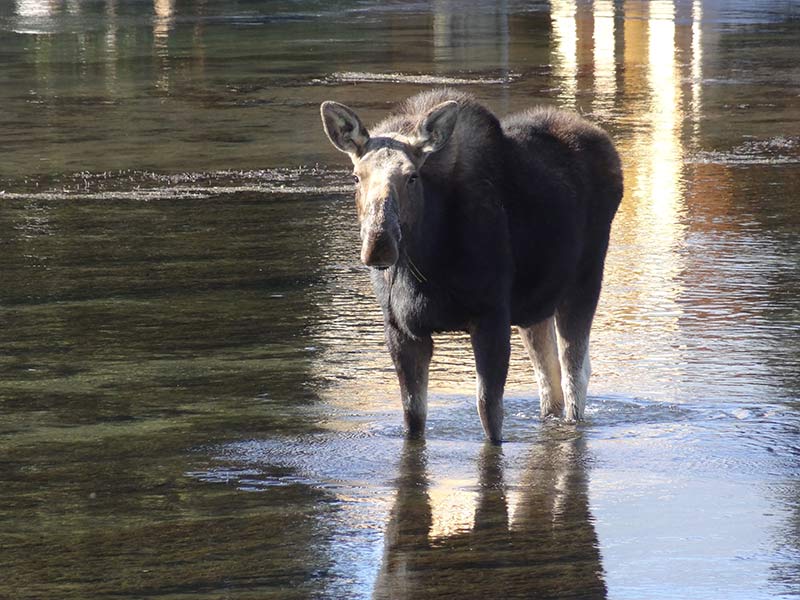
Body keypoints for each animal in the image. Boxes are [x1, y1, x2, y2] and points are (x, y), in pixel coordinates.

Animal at [320, 90, 624, 446]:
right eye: (356, 177)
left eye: (412, 176)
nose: (379, 243)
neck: (424, 269)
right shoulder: (401, 329)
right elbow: (413, 417)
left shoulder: (491, 316)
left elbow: (489, 413)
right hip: (535, 308)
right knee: (548, 379)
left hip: (585, 282)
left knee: (575, 375)